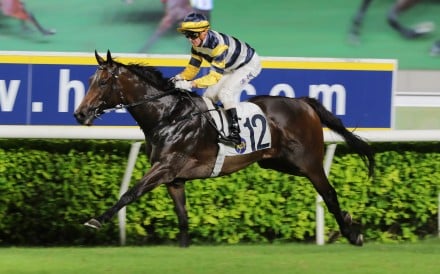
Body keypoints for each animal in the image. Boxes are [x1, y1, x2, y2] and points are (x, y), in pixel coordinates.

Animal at [73, 50, 374, 247]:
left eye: (103, 82)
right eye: (89, 81)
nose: (80, 113)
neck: (168, 115)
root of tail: (303, 102)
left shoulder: (165, 167)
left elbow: (130, 192)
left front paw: (96, 220)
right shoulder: (174, 178)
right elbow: (182, 217)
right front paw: (183, 249)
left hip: (308, 162)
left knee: (329, 193)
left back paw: (352, 233)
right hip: (277, 161)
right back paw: (349, 223)